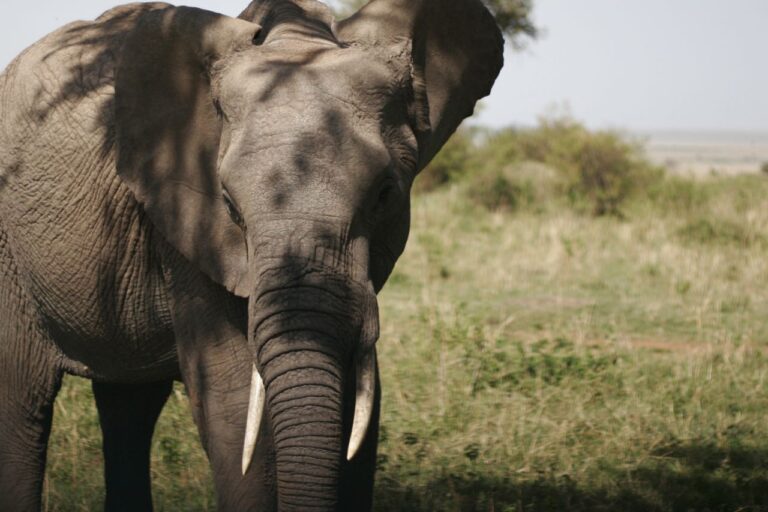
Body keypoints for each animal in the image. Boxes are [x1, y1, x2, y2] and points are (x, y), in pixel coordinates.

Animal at [0, 0, 504, 510]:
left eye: (385, 195)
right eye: (228, 204)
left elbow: (362, 413)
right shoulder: (188, 234)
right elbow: (234, 407)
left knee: (129, 406)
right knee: (23, 405)